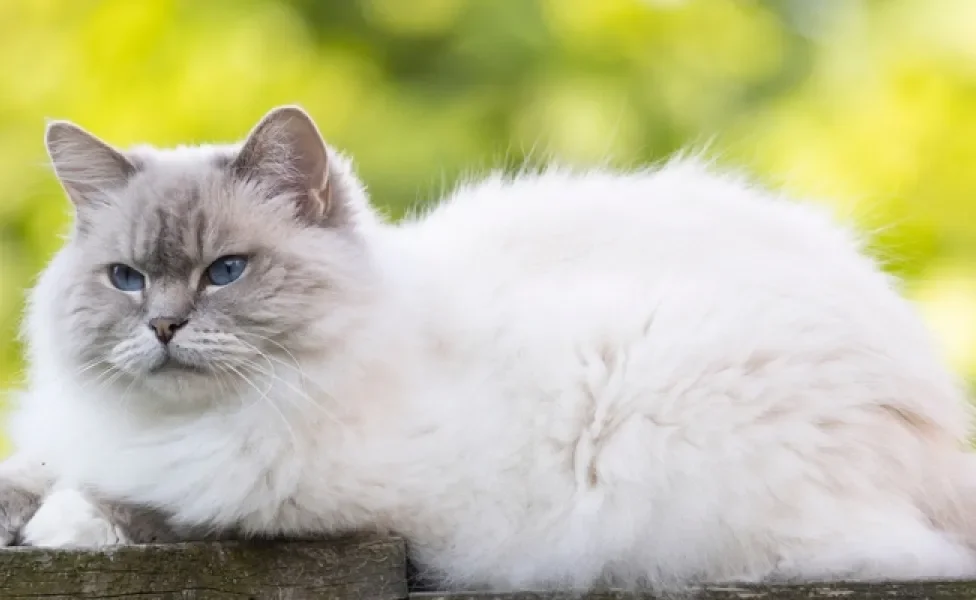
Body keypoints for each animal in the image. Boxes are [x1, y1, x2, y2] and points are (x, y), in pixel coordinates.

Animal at [1, 104, 976, 592]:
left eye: (226, 271)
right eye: (127, 279)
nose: (162, 328)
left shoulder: (319, 497)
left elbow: (152, 504)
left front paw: (63, 525)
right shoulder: (69, 435)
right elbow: (35, 472)